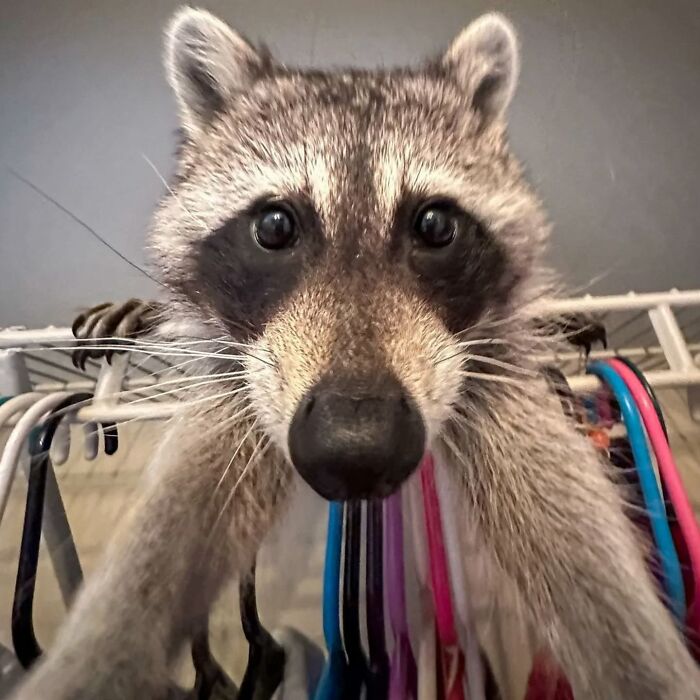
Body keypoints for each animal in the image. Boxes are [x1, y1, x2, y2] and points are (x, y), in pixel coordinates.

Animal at [10, 6, 700, 700]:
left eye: (435, 225)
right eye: (274, 226)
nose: (359, 449)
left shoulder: (485, 364)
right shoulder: (246, 374)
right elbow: (178, 521)